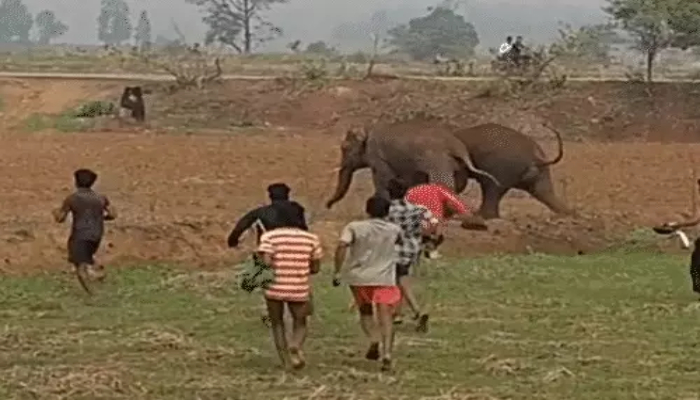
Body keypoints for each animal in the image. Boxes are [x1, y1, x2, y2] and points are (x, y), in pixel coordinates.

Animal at [325, 118, 501, 209]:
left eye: (344, 148)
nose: (328, 205)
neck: (368, 126)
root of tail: (457, 147)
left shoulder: (377, 156)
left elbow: (382, 179)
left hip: (438, 162)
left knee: (443, 184)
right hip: (457, 167)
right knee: (457, 185)